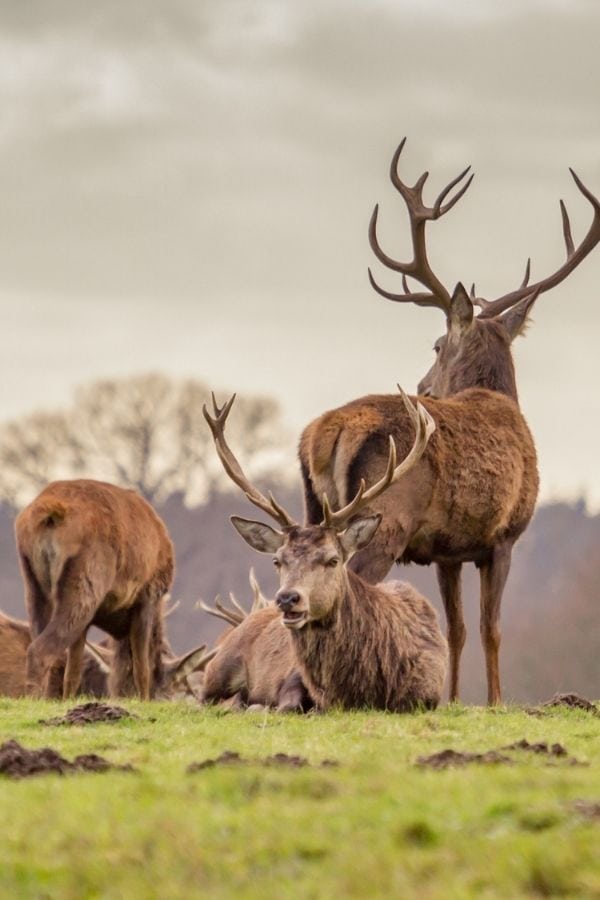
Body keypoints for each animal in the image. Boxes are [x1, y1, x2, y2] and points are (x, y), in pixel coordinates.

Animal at [13, 482, 199, 700]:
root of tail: (52, 512)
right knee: (39, 651)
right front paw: (144, 699)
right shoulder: (147, 596)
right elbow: (142, 667)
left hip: (33, 583)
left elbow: (73, 672)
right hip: (87, 582)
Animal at [204, 392, 448, 712]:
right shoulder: (293, 680)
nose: (287, 598)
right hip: (218, 665)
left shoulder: (427, 694)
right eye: (277, 560)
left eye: (333, 560)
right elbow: (287, 705)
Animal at [302, 141, 600, 708]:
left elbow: (457, 629)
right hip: (380, 522)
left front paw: (457, 698)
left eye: (436, 346)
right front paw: (497, 701)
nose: (421, 385)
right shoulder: (503, 536)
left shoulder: (447, 550)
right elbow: (492, 628)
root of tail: (325, 432)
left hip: (313, 510)